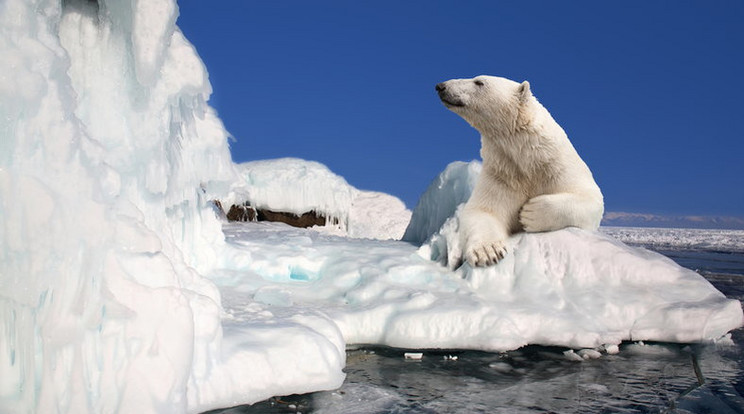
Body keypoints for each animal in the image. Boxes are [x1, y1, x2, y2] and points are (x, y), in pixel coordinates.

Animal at [436, 75, 604, 266]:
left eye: (479, 82)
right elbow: (483, 210)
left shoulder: (559, 166)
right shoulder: (502, 174)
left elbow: (590, 199)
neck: (529, 160)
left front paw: (531, 213)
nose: (441, 86)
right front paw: (488, 252)